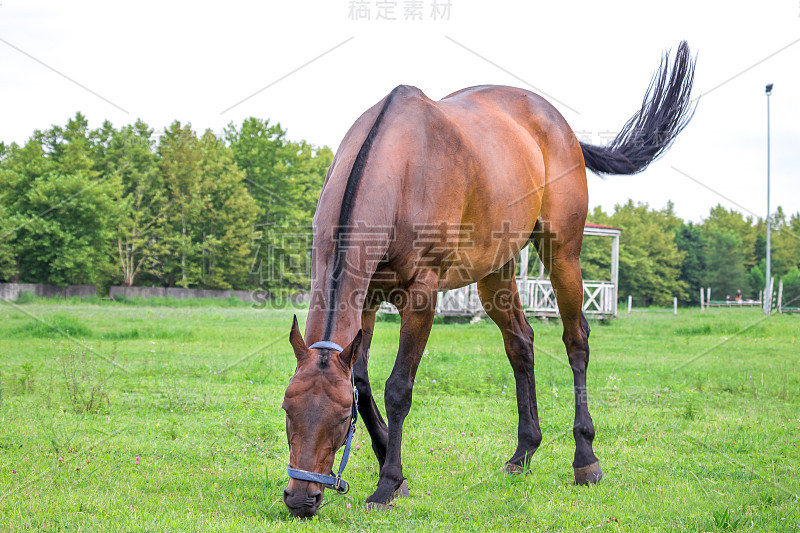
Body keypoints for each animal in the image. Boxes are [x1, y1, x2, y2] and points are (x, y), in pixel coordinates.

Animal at [282, 41, 692, 516]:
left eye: (337, 419)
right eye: (287, 410)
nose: (300, 498)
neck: (398, 168)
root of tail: (560, 125)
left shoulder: (421, 296)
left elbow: (398, 387)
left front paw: (388, 482)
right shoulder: (365, 296)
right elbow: (363, 382)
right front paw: (388, 458)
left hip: (563, 254)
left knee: (577, 341)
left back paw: (585, 458)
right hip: (496, 273)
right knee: (521, 343)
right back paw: (524, 451)